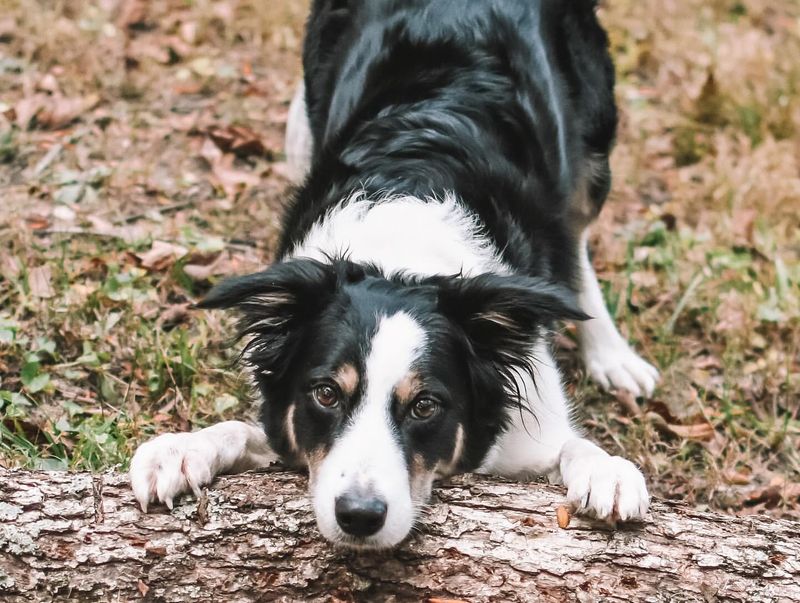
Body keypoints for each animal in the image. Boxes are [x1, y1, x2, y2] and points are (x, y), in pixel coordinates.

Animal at [130, 0, 656, 548]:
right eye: (326, 393)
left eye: (425, 406)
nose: (359, 516)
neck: (401, 254)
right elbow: (243, 429)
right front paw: (182, 449)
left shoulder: (531, 426)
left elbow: (570, 445)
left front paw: (607, 471)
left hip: (593, 144)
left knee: (577, 240)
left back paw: (611, 353)